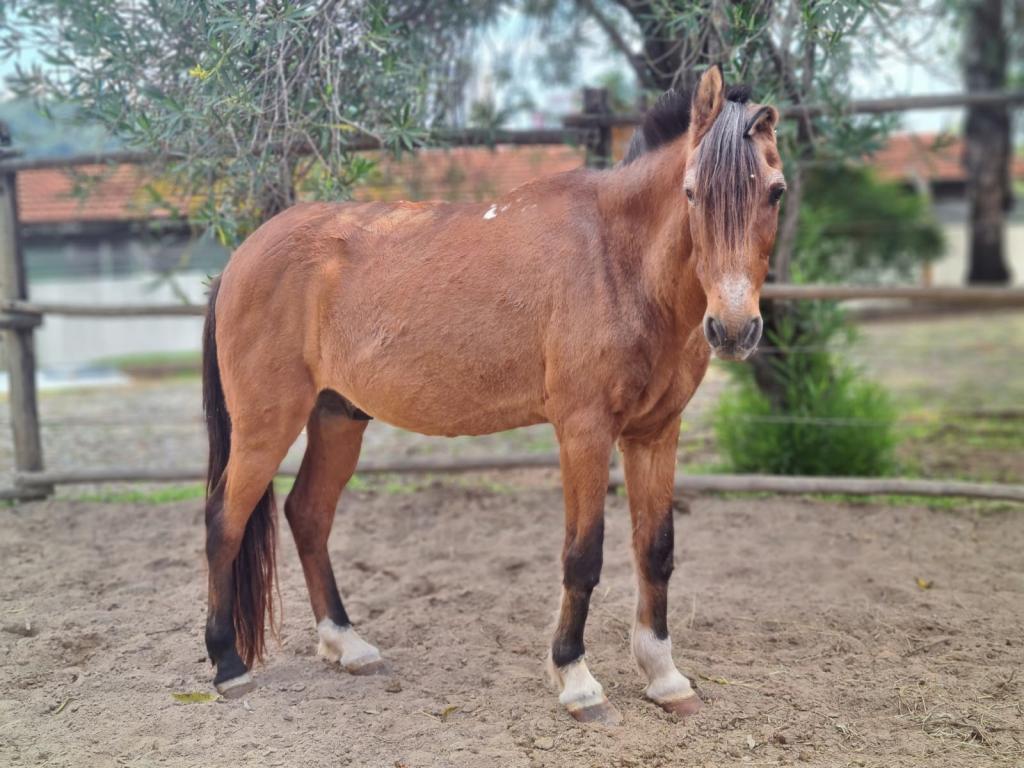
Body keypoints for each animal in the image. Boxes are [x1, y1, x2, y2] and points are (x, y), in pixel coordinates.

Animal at [203, 64, 786, 720]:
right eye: (691, 193)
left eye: (776, 191)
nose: (733, 329)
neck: (618, 260)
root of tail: (240, 259)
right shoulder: (584, 432)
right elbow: (583, 556)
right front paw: (576, 679)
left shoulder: (655, 433)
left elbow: (655, 548)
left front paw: (664, 676)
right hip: (266, 425)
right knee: (224, 520)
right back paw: (228, 665)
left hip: (337, 418)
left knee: (307, 515)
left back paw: (347, 645)